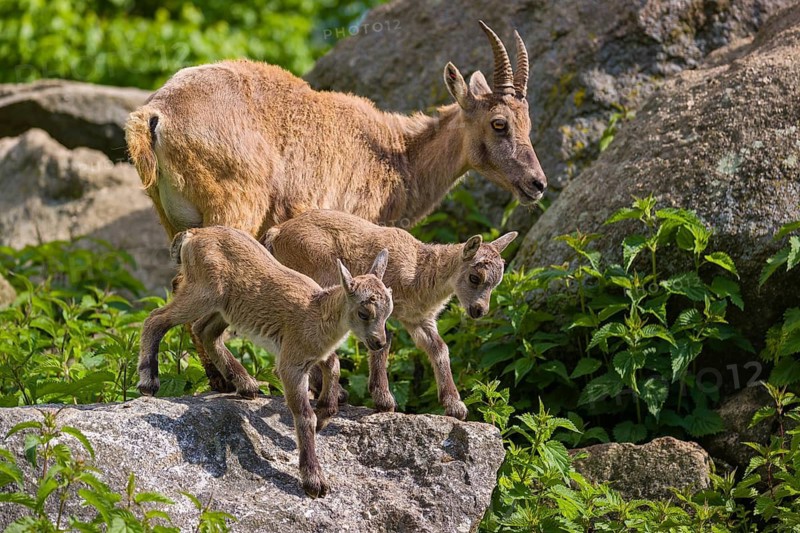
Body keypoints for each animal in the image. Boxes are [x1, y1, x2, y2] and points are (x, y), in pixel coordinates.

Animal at [126, 21, 544, 393]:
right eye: (499, 123)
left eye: (528, 124)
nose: (537, 184)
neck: (396, 156)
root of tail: (154, 117)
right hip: (234, 209)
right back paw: (237, 381)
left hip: (173, 219)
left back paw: (217, 380)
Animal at [137, 225, 393, 497]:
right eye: (364, 313)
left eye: (388, 312)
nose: (378, 342)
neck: (317, 312)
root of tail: (193, 235)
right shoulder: (291, 364)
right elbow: (304, 415)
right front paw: (313, 480)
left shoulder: (317, 355)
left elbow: (333, 367)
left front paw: (325, 413)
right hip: (202, 293)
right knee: (156, 319)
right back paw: (148, 382)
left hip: (225, 307)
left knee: (204, 331)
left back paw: (246, 384)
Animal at [262, 209, 517, 420]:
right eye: (475, 277)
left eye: (497, 282)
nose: (479, 310)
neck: (419, 272)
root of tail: (277, 233)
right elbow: (382, 345)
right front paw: (384, 400)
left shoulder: (418, 319)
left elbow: (439, 349)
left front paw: (455, 406)